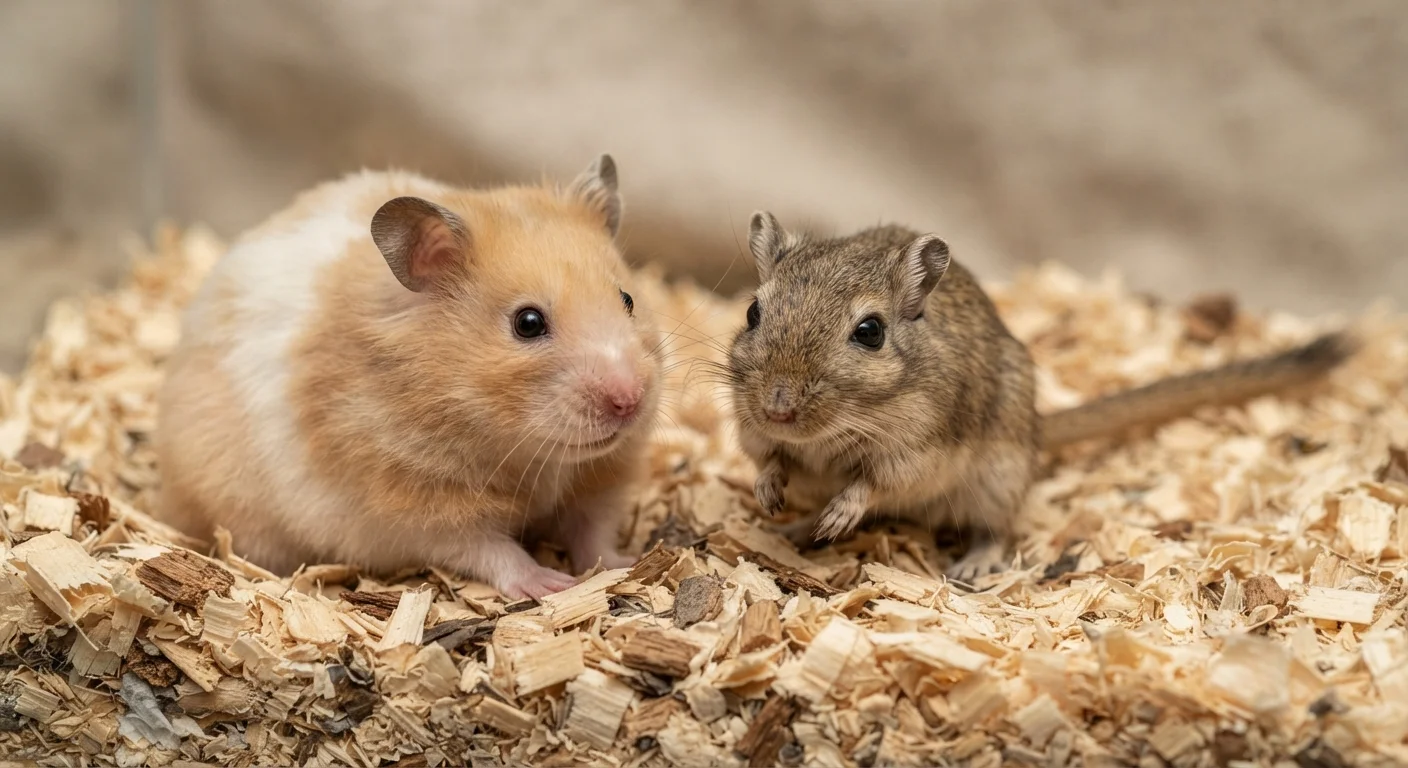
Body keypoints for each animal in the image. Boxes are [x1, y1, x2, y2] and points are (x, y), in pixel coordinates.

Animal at [155, 155, 662, 600]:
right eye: (528, 323)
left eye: (628, 300)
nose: (629, 400)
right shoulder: (419, 510)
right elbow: (490, 549)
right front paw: (552, 584)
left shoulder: (598, 479)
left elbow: (592, 530)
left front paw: (626, 564)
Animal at [727, 213, 1354, 582]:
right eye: (753, 312)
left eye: (870, 332)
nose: (777, 408)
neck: (838, 428)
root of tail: (1038, 428)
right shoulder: (753, 432)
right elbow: (769, 458)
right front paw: (770, 494)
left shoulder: (915, 452)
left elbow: (873, 485)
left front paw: (840, 513)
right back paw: (791, 530)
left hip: (997, 478)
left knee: (997, 529)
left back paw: (972, 565)